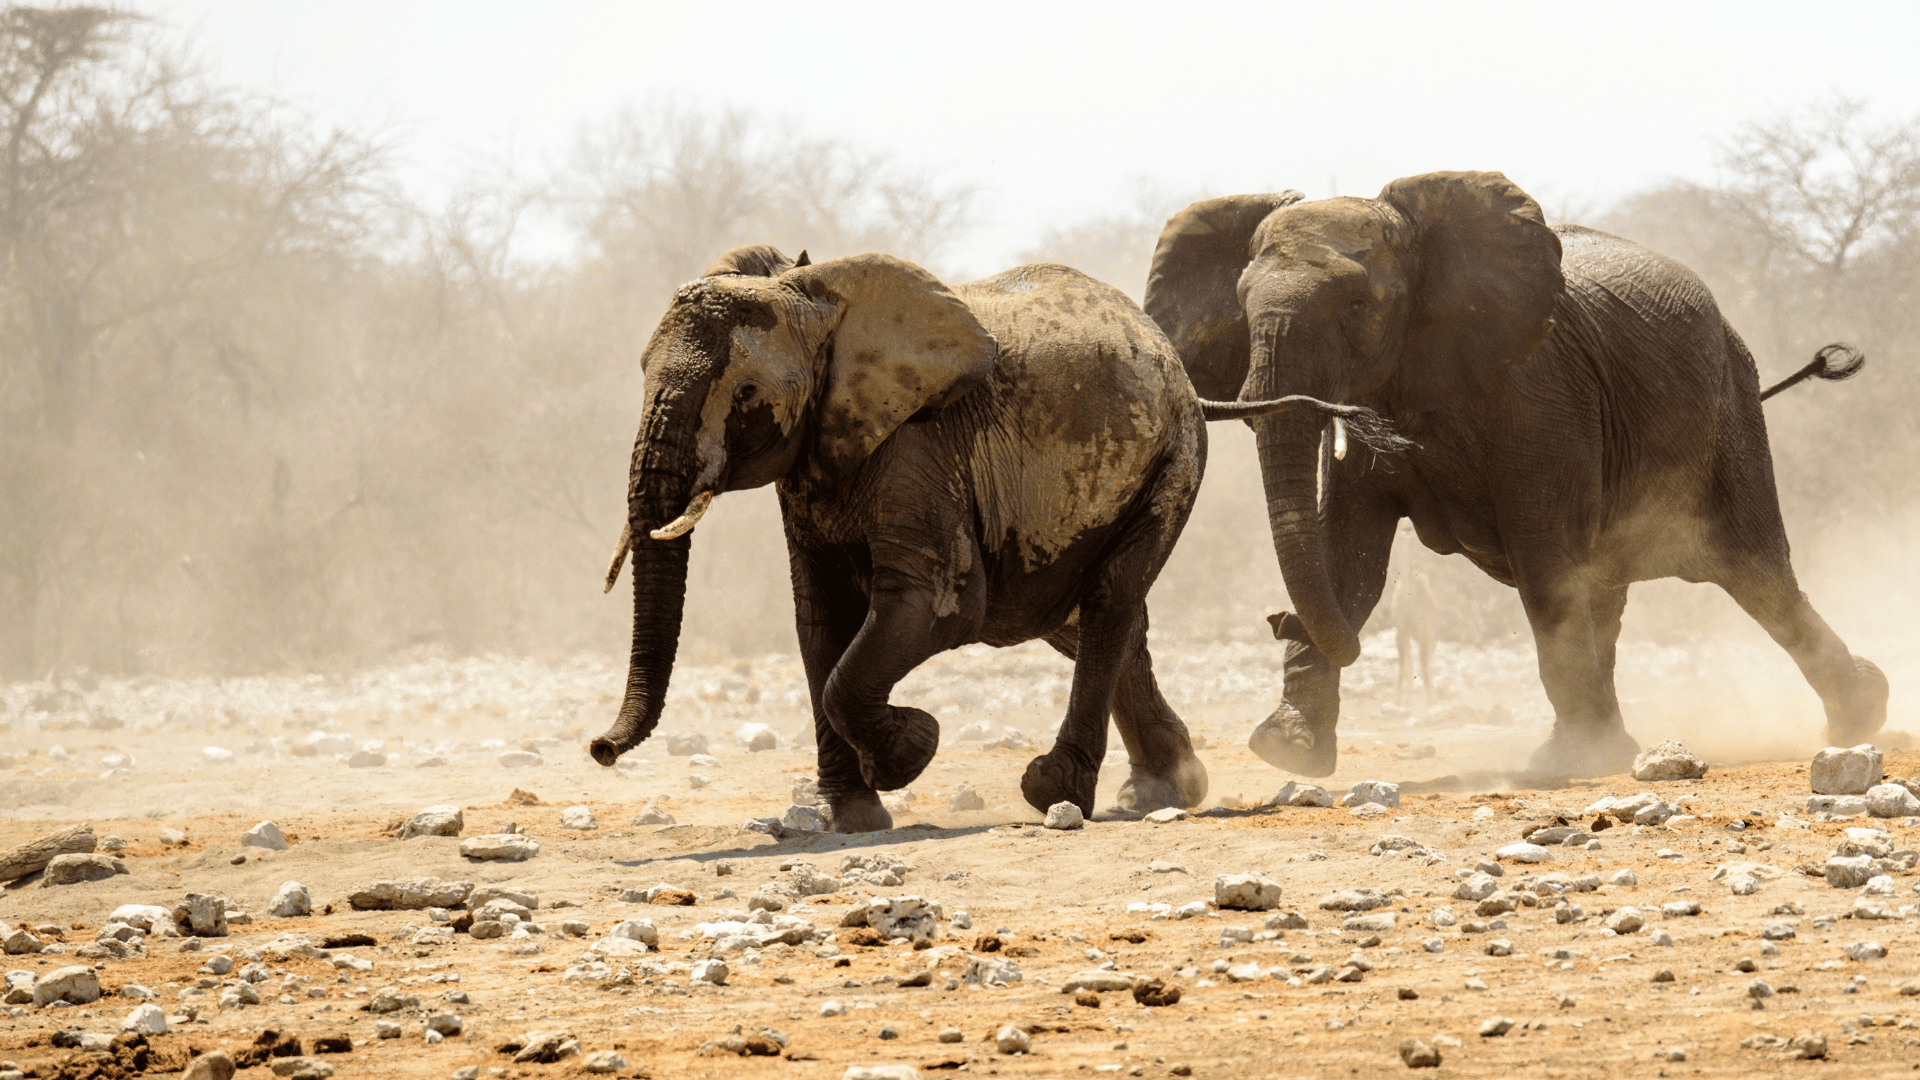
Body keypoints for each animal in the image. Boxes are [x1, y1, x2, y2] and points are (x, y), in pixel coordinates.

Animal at [587, 245, 1397, 834]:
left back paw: (1056, 790)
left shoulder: (917, 445)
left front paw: (911, 750)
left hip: (1174, 460)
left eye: (745, 394)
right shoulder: (815, 464)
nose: (599, 748)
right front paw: (857, 819)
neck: (814, 300)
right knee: (1089, 617)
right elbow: (819, 624)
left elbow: (935, 607)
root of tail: (1179, 368)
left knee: (1107, 601)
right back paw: (1168, 788)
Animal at [1136, 170, 1889, 772]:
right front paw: (1288, 750)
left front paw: (1575, 764)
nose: (1277, 618)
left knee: (1754, 570)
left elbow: (1541, 558)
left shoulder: (1539, 394)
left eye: (1358, 307)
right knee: (1613, 589)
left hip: (1730, 404)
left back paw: (1860, 713)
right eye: (1241, 304)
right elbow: (1350, 559)